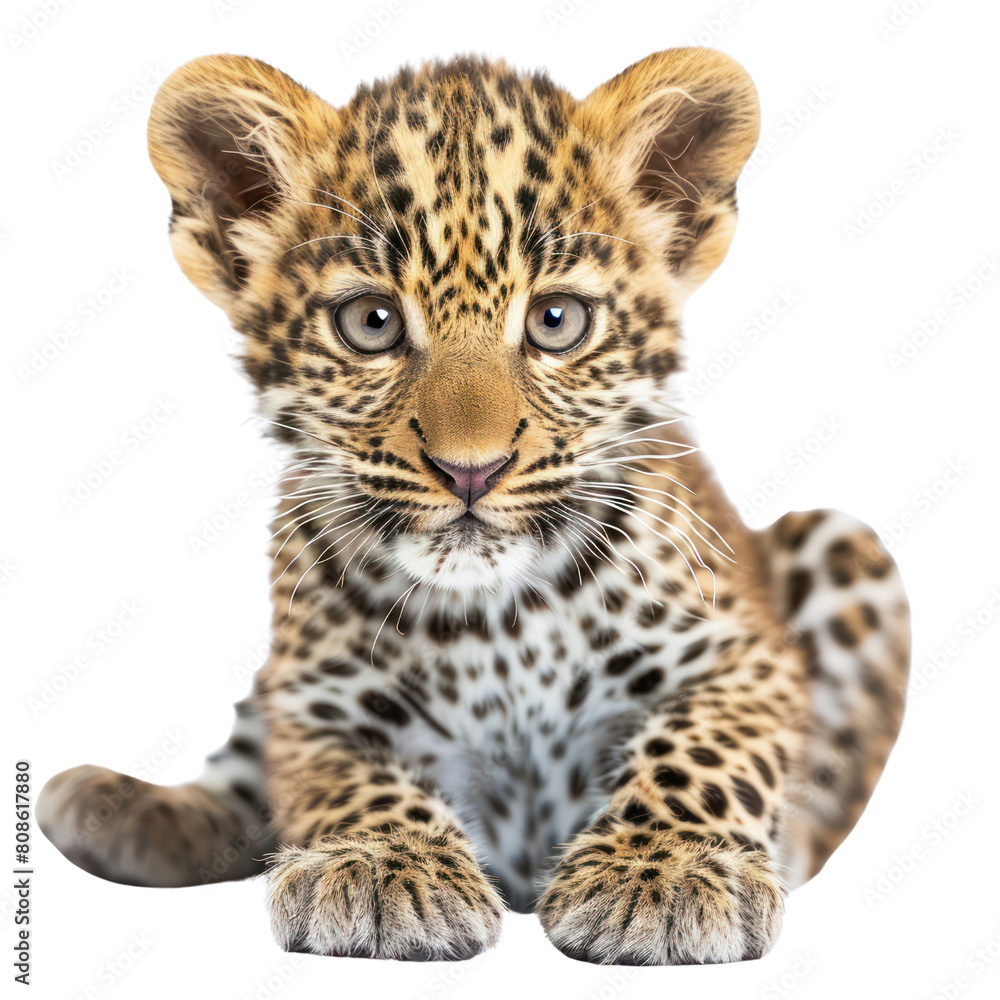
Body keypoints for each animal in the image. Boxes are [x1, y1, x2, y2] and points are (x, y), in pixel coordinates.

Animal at [38, 48, 910, 965]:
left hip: (846, 543)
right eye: (372, 321)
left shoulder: (741, 659)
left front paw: (662, 874)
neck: (497, 621)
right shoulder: (314, 701)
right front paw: (383, 869)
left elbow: (700, 751)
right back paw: (117, 807)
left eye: (557, 320)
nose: (471, 472)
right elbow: (340, 777)